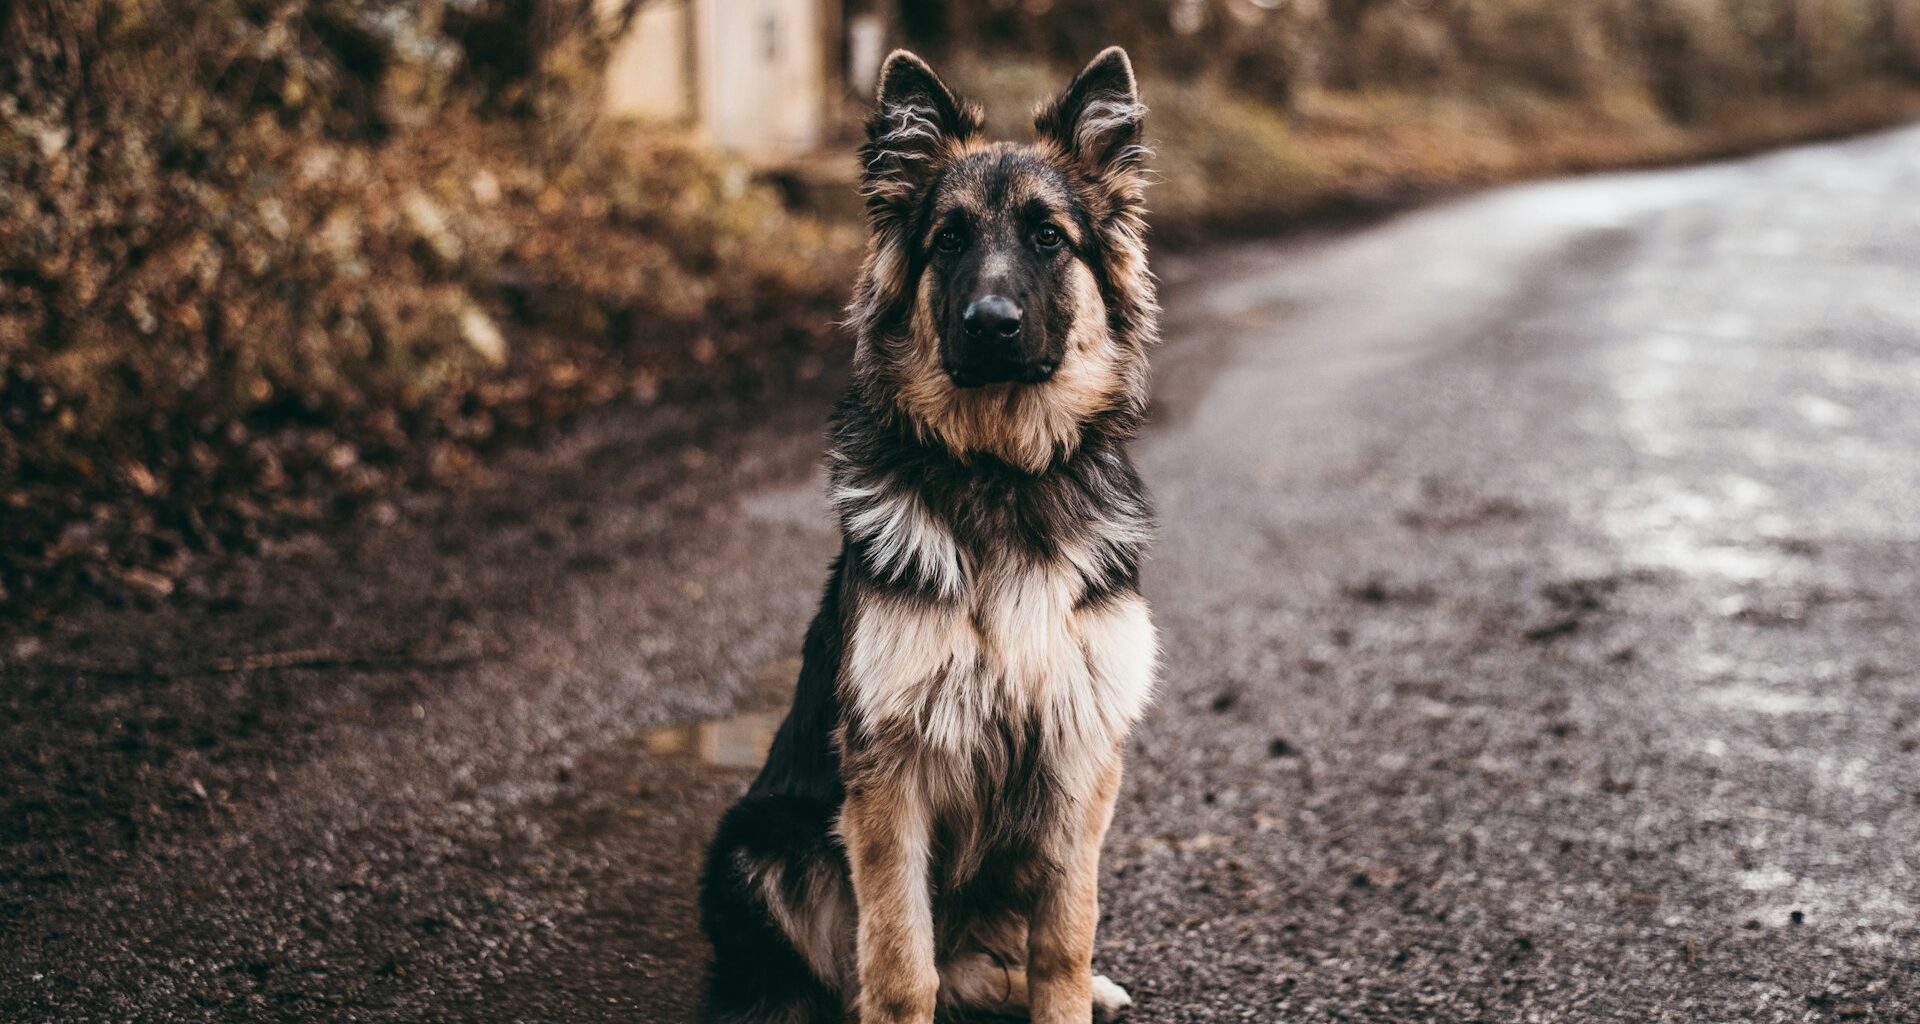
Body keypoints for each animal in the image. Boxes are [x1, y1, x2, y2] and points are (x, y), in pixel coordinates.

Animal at [702, 48, 1152, 1022]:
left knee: (982, 966)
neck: (999, 473)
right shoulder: (889, 778)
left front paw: (1068, 991)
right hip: (760, 843)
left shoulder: (1078, 759)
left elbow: (1064, 940)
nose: (990, 325)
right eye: (949, 240)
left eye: (1048, 238)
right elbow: (901, 962)